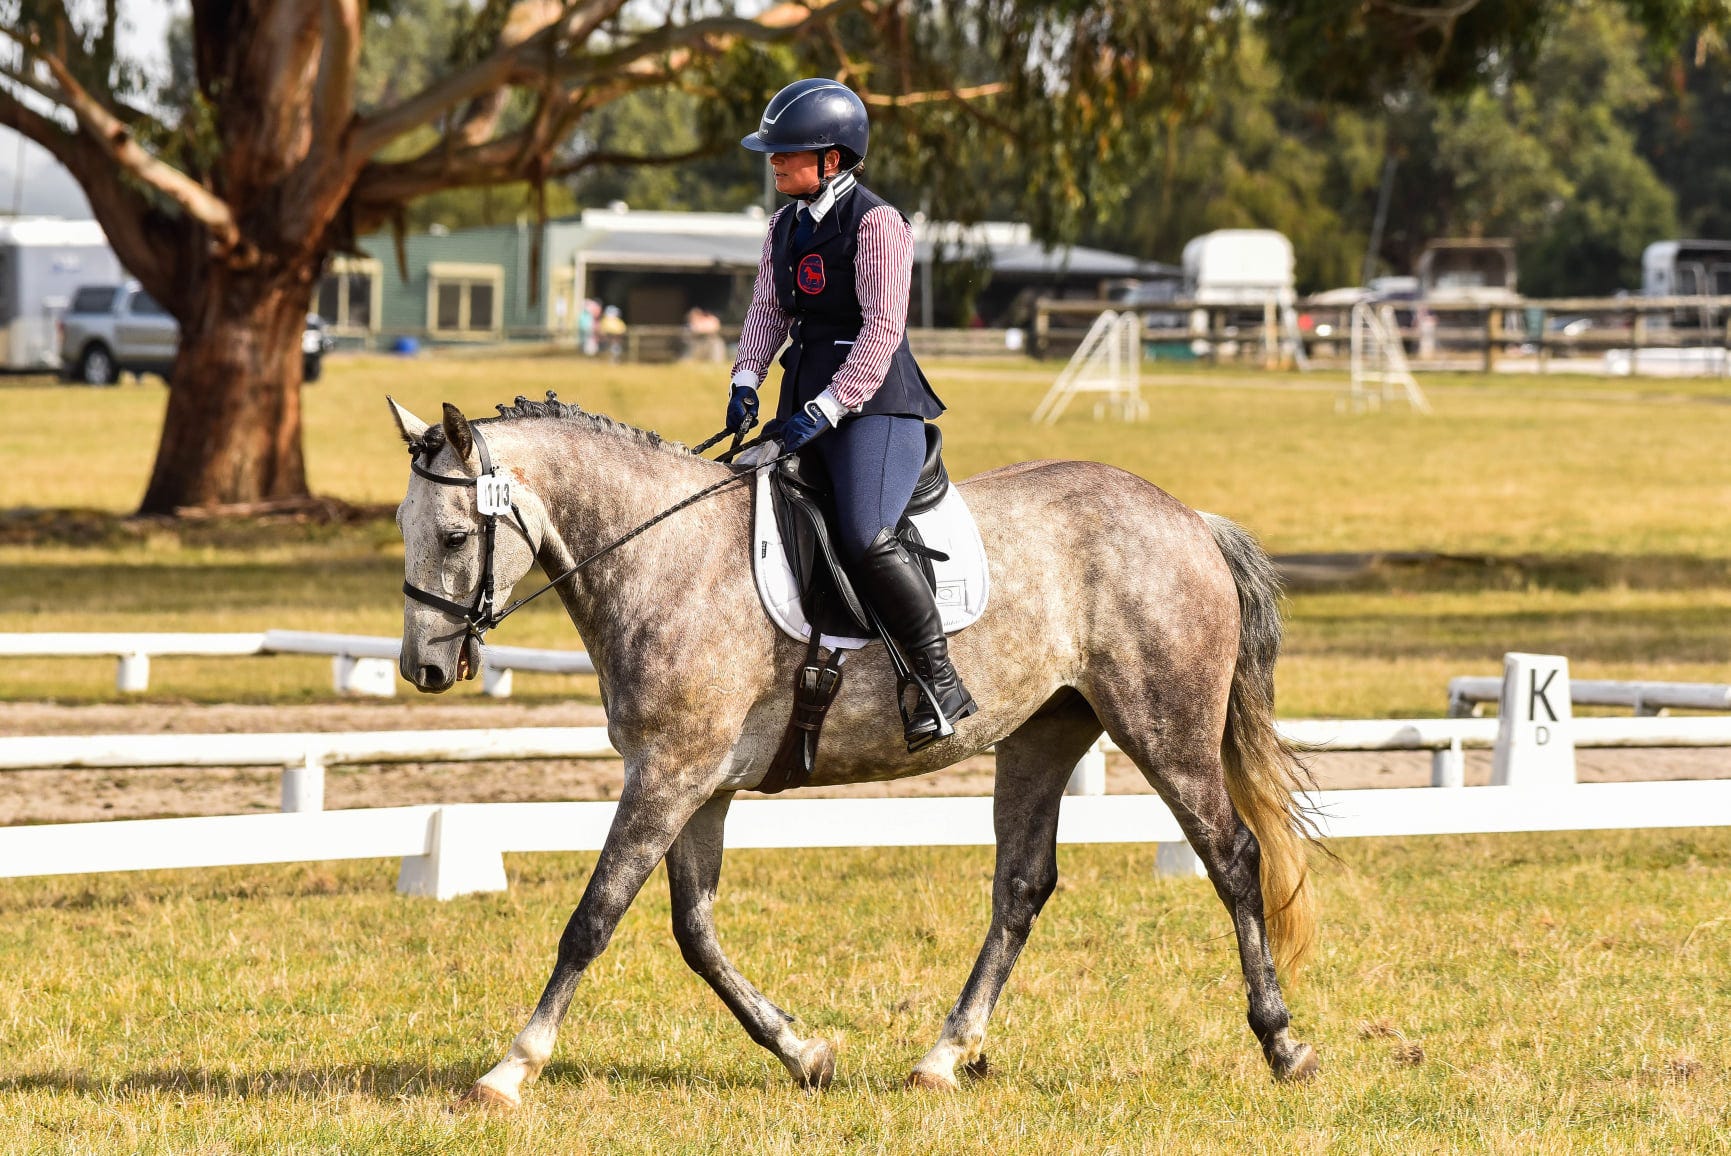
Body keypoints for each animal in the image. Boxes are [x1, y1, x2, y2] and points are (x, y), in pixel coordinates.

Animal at [386, 392, 1315, 1107]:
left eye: (456, 537)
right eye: (404, 527)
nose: (423, 668)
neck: (660, 557)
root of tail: (1186, 517)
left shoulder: (669, 773)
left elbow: (593, 919)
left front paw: (509, 1071)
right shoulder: (696, 783)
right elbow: (695, 933)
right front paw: (804, 1054)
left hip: (1164, 727)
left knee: (1232, 858)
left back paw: (1282, 1045)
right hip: (1044, 731)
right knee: (1021, 887)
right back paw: (942, 1057)